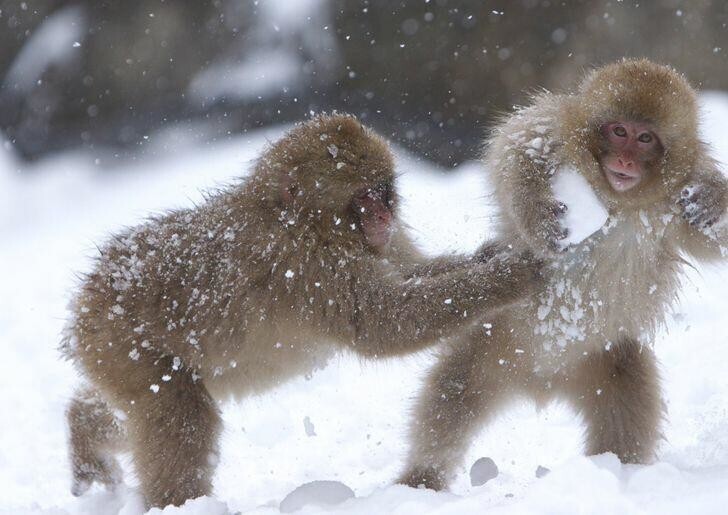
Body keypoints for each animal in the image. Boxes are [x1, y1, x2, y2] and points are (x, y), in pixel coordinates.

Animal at [62, 114, 540, 508]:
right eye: (364, 198)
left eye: (383, 193)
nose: (384, 218)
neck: (306, 221)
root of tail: (89, 296)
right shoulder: (306, 268)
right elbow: (384, 325)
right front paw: (508, 278)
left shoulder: (374, 247)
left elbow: (409, 272)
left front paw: (485, 257)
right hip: (120, 342)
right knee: (179, 415)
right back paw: (176, 503)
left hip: (116, 357)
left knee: (135, 411)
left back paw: (83, 429)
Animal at [398, 58, 728, 490]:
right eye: (618, 131)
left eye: (645, 139)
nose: (624, 161)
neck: (615, 199)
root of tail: (543, 383)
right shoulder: (554, 127)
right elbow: (513, 147)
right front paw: (540, 219)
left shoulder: (676, 206)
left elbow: (714, 239)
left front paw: (715, 198)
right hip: (492, 340)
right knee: (452, 395)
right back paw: (422, 478)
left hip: (606, 359)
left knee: (629, 402)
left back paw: (617, 471)